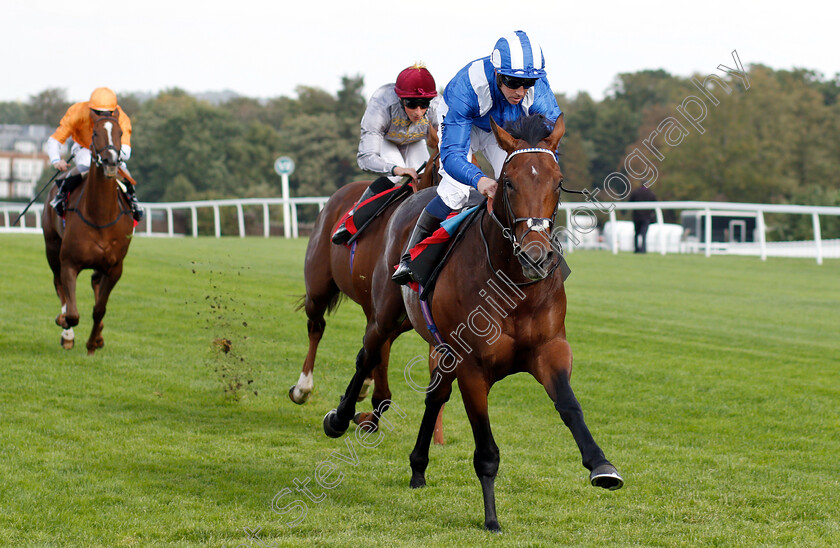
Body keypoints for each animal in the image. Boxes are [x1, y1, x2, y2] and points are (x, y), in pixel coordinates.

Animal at [41, 111, 135, 356]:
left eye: (120, 133)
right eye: (95, 133)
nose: (111, 162)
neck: (100, 215)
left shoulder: (115, 267)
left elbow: (99, 308)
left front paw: (93, 342)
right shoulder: (69, 263)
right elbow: (72, 313)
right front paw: (65, 325)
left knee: (95, 282)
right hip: (52, 247)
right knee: (58, 284)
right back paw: (67, 334)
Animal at [292, 128, 446, 446]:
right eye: (439, 166)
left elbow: (379, 361)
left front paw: (363, 407)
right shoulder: (383, 313)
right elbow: (376, 363)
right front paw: (355, 411)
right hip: (318, 288)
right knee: (316, 326)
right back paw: (303, 388)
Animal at [322, 114, 624, 532]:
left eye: (558, 181)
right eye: (509, 182)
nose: (535, 256)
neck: (512, 285)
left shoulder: (550, 350)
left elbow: (569, 406)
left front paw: (601, 466)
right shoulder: (473, 366)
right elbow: (486, 450)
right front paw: (491, 518)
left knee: (434, 395)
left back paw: (418, 467)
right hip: (386, 316)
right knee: (367, 355)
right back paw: (340, 418)